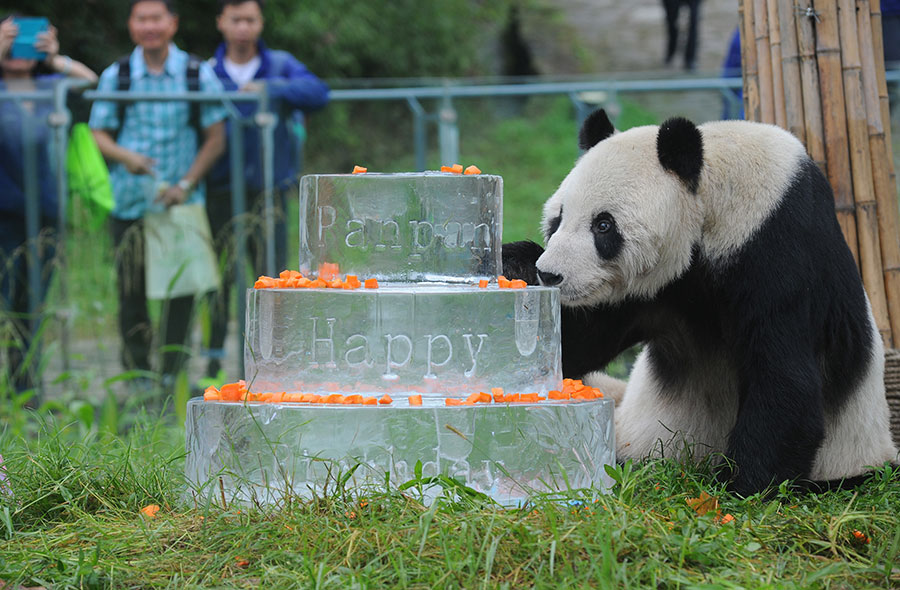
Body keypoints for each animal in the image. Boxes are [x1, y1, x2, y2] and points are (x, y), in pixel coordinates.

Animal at [502, 108, 896, 498]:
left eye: (603, 225)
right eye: (558, 219)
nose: (551, 275)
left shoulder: (779, 248)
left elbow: (785, 376)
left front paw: (740, 486)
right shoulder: (654, 289)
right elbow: (579, 345)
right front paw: (515, 264)